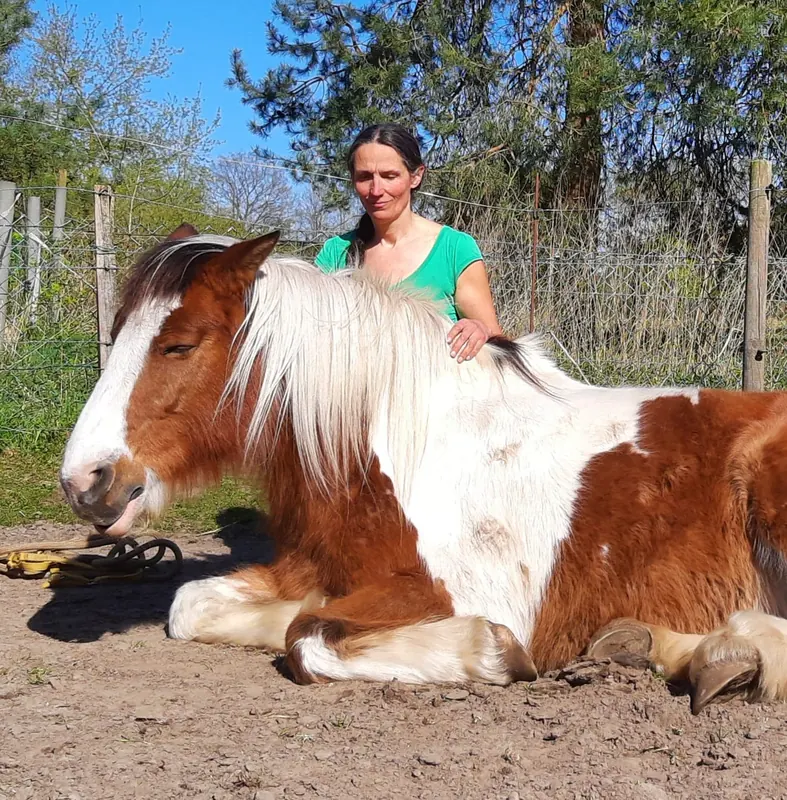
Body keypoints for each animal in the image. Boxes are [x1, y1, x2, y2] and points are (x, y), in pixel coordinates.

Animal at [58, 223, 787, 715]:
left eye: (179, 345)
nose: (86, 481)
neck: (397, 441)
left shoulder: (451, 589)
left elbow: (307, 638)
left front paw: (489, 651)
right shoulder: (313, 568)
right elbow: (194, 603)